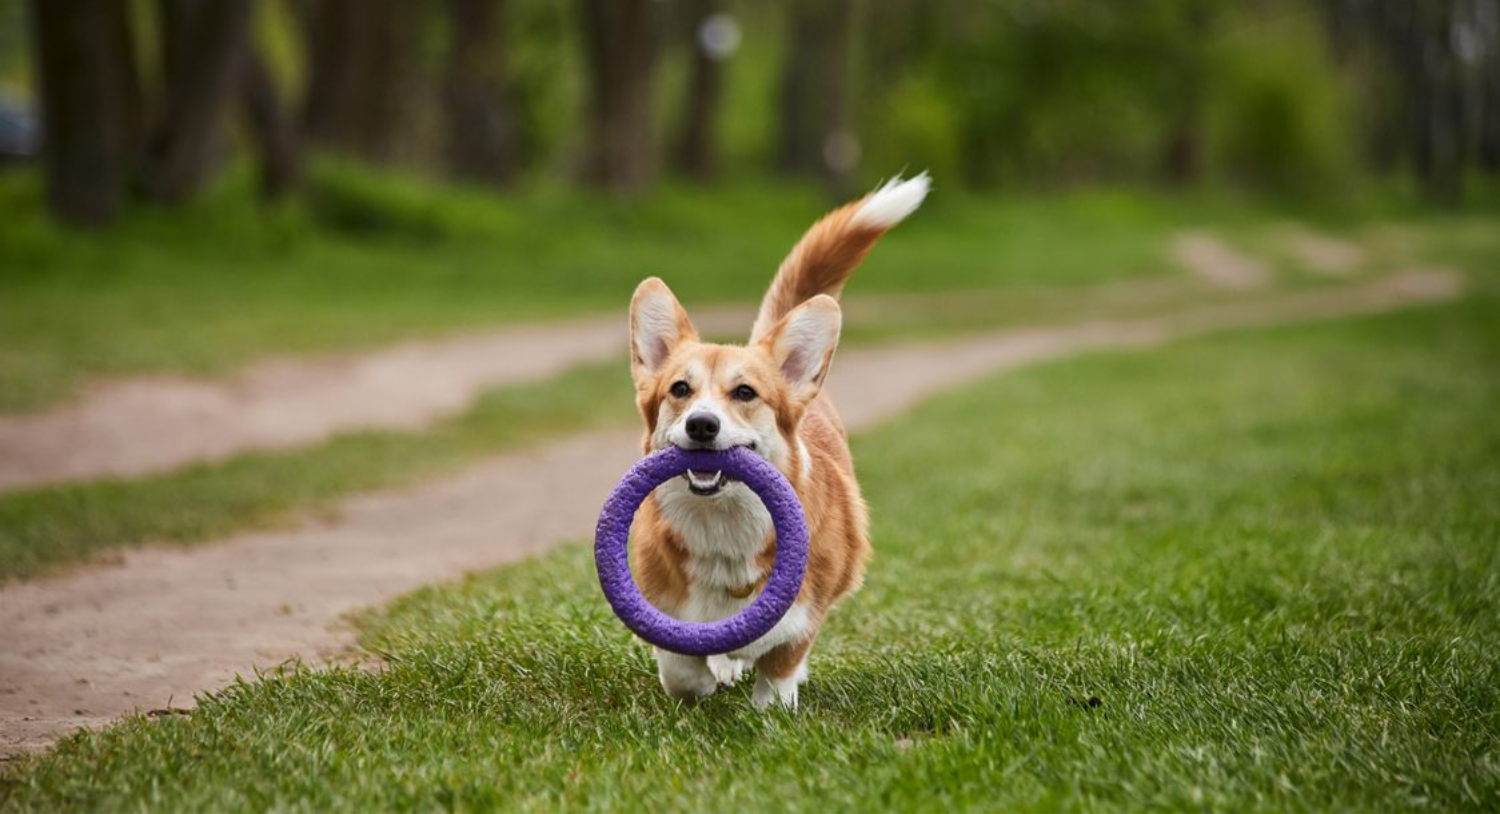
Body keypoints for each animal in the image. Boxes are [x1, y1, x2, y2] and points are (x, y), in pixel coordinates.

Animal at [627, 175, 930, 710]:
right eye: (680, 390)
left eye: (745, 393)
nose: (701, 425)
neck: (724, 526)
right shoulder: (662, 608)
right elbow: (680, 664)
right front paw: (703, 683)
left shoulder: (802, 619)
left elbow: (780, 665)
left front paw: (772, 711)